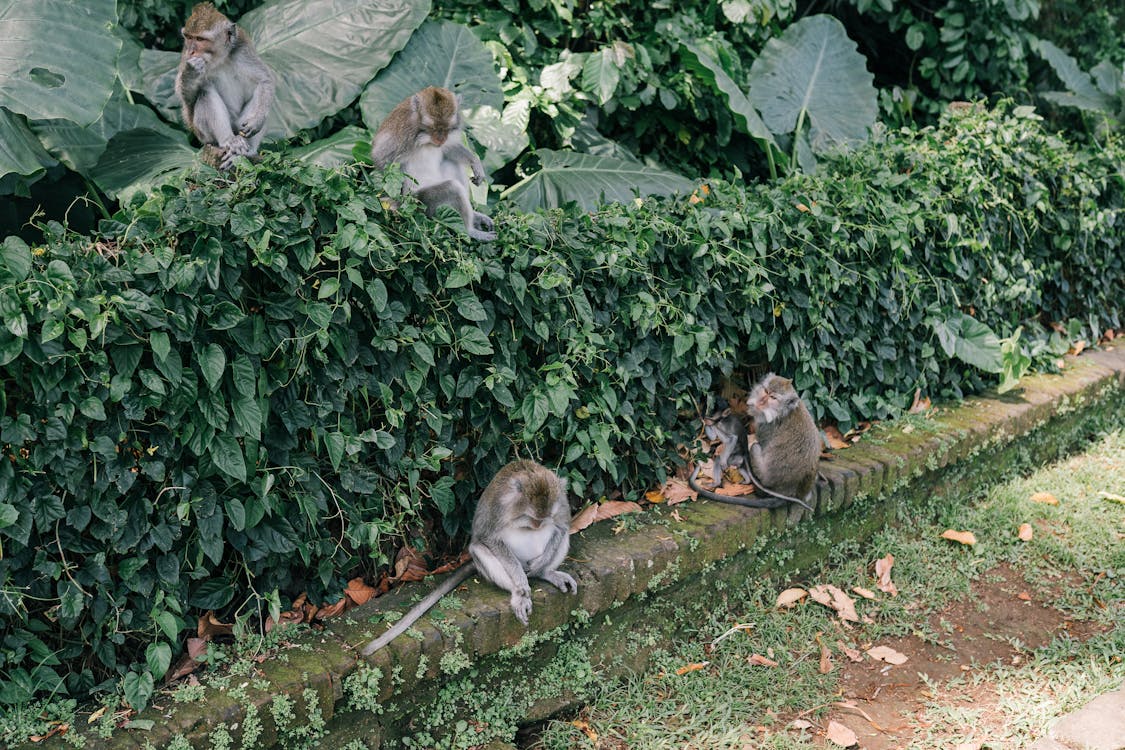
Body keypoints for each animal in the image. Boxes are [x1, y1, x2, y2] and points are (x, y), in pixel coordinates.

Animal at [180, 2, 279, 169]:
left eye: (199, 39)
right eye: (189, 37)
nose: (192, 51)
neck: (220, 58)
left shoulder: (242, 49)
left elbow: (265, 80)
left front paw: (257, 120)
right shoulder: (184, 56)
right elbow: (188, 102)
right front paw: (191, 71)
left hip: (238, 125)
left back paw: (246, 151)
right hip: (204, 134)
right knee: (205, 92)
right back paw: (229, 140)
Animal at [362, 458, 580, 656]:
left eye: (542, 519)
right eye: (532, 519)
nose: (538, 525)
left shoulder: (560, 499)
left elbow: (562, 525)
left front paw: (541, 565)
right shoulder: (500, 505)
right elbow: (488, 537)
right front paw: (520, 584)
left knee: (562, 534)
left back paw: (545, 573)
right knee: (478, 547)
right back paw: (518, 594)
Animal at [371, 86, 499, 241]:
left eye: (446, 128)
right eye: (433, 128)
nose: (440, 139)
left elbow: (448, 148)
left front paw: (475, 163)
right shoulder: (404, 132)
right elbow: (380, 157)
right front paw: (397, 201)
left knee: (451, 163)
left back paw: (475, 216)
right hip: (424, 204)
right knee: (452, 188)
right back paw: (469, 231)